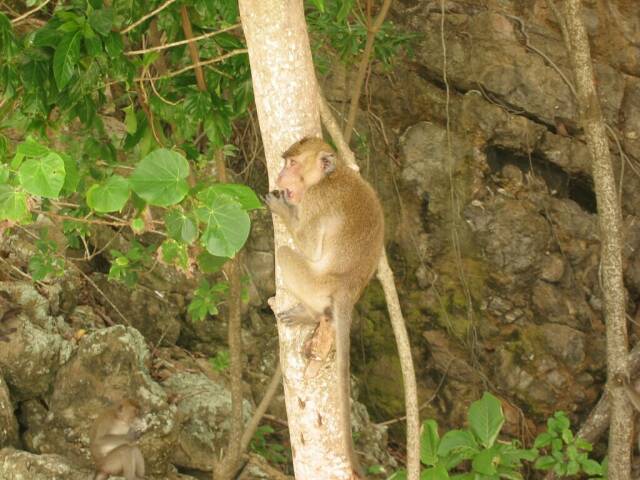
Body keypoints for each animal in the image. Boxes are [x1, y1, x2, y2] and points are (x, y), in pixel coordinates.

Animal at [262, 137, 382, 478]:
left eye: (292, 164)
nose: (281, 177)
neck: (331, 176)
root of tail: (348, 289)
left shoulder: (316, 201)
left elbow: (308, 243)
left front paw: (283, 208)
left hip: (316, 283)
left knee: (286, 253)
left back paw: (311, 314)